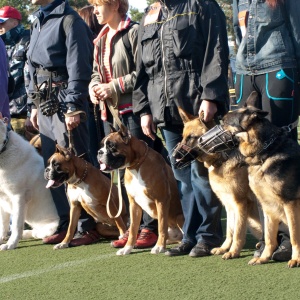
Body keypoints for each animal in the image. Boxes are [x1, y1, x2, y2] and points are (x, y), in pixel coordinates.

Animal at [0, 117, 59, 251]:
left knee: (37, 233)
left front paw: (10, 244)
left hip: (53, 227)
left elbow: (16, 224)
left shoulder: (18, 196)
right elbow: (3, 224)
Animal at [97, 125, 184, 254]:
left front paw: (159, 247)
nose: (99, 152)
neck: (136, 166)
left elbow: (161, 225)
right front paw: (127, 248)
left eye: (111, 146)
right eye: (102, 145)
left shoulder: (161, 201)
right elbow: (133, 229)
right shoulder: (134, 205)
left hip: (179, 217)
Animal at [172, 108, 262, 260]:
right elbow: (230, 230)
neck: (222, 158)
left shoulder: (240, 204)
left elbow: (237, 232)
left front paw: (233, 251)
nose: (173, 157)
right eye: (183, 137)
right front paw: (224, 248)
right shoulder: (229, 205)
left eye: (191, 137)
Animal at [221, 93, 300, 268]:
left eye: (224, 123)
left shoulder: (290, 204)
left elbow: (294, 236)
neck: (266, 153)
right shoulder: (267, 206)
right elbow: (270, 237)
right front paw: (264, 258)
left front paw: (296, 259)